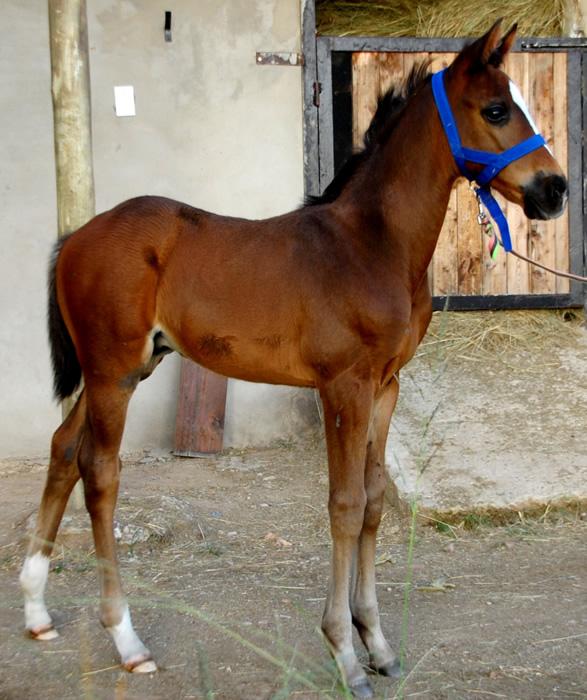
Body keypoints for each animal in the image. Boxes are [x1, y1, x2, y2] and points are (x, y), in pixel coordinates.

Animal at [20, 20, 567, 698]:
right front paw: (345, 652)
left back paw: (36, 609)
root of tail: (77, 237)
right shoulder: (344, 386)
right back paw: (127, 639)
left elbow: (375, 499)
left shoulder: (386, 386)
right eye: (495, 109)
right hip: (112, 372)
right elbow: (344, 505)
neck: (371, 245)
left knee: (63, 448)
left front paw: (376, 641)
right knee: (99, 470)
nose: (555, 189)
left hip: (126, 369)